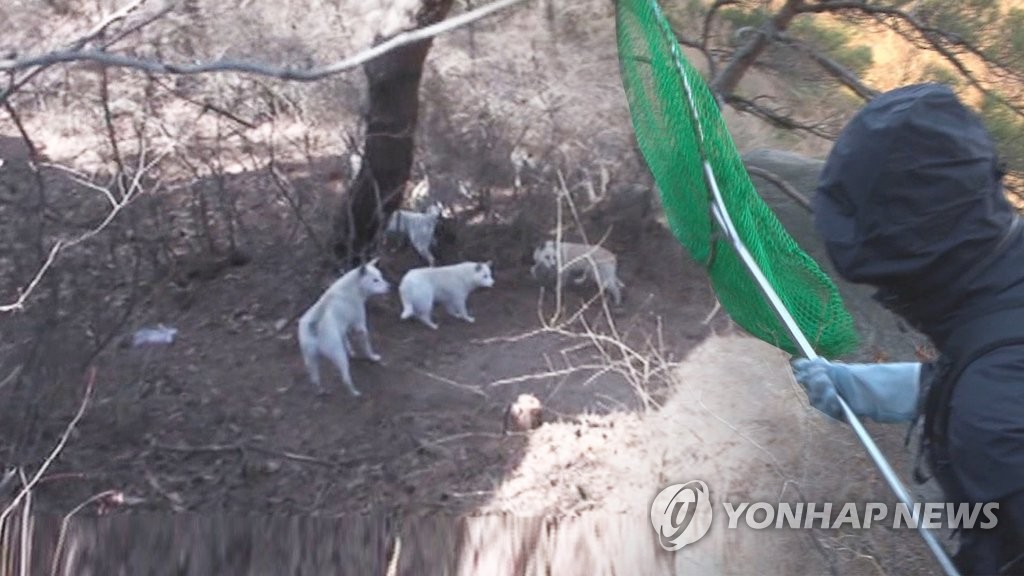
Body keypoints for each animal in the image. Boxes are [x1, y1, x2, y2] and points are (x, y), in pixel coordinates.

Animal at [299, 259, 391, 397]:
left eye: (381, 276)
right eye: (375, 280)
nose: (390, 287)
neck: (353, 287)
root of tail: (313, 325)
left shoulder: (343, 328)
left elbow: (346, 341)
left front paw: (351, 352)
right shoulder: (360, 327)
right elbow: (367, 346)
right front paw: (373, 357)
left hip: (310, 360)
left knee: (315, 380)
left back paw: (321, 391)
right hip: (338, 355)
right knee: (345, 379)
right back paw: (355, 393)